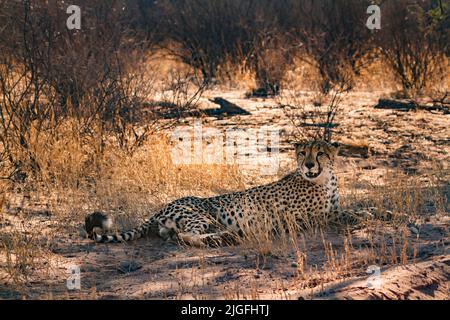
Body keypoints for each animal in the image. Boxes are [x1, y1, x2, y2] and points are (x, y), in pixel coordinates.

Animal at [91, 139, 348, 246]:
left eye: (320, 153)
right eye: (303, 153)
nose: (309, 165)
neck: (325, 179)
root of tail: (161, 207)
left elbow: (345, 211)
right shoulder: (307, 218)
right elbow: (344, 215)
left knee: (174, 236)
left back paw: (224, 236)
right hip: (203, 215)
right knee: (187, 237)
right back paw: (224, 239)